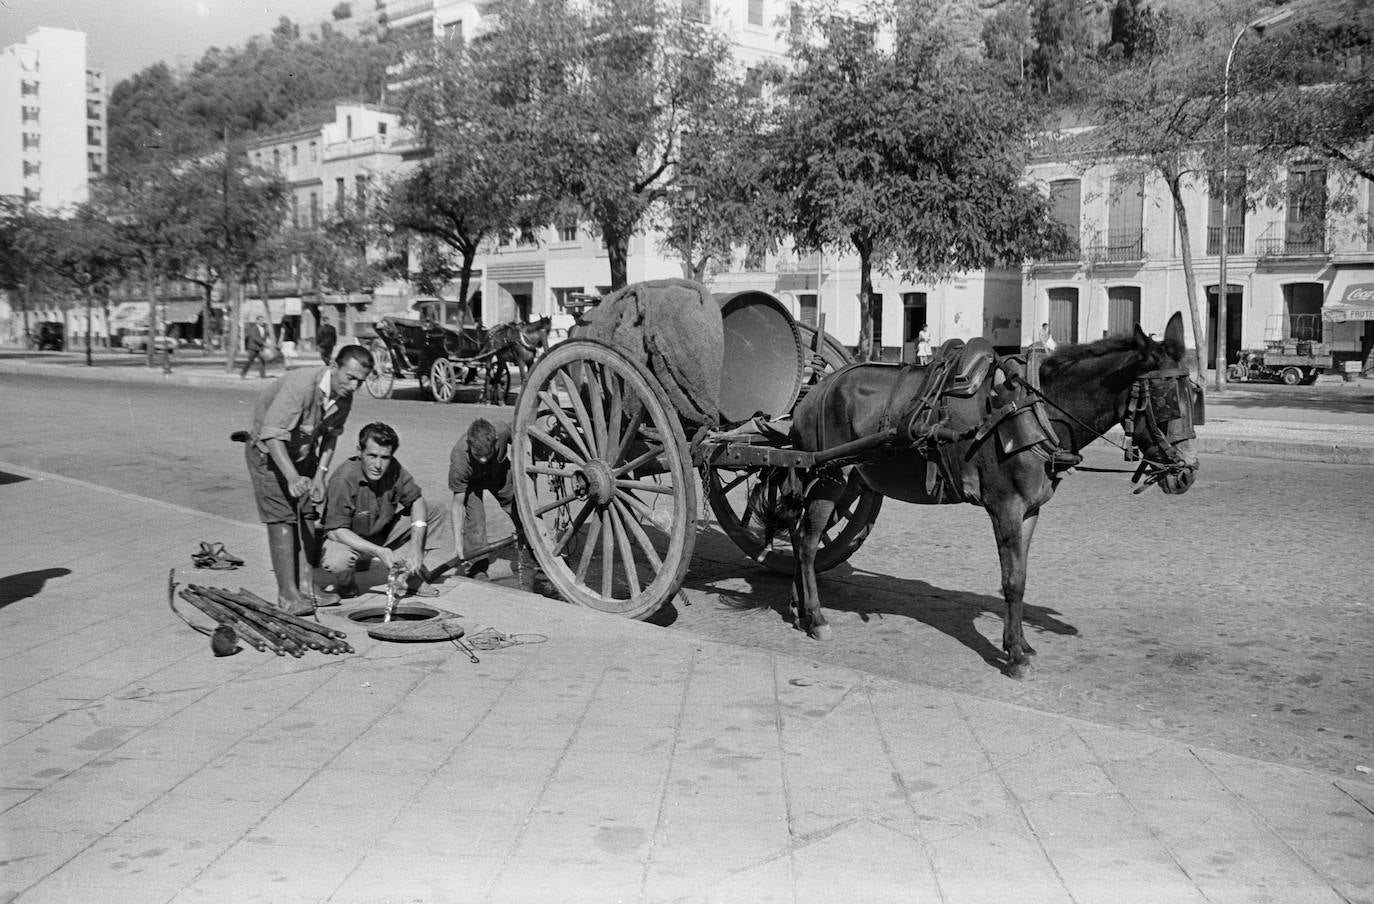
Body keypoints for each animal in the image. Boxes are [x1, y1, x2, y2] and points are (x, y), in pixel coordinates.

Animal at [785, 310, 1203, 675]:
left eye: (1193, 393)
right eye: (1165, 397)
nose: (1186, 472)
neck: (1035, 410)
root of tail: (817, 389)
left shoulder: (1030, 510)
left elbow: (1022, 575)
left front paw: (1021, 644)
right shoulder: (1006, 507)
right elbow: (1011, 581)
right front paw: (1015, 654)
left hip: (849, 480)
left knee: (801, 535)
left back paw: (800, 605)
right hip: (830, 477)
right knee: (806, 542)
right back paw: (816, 617)